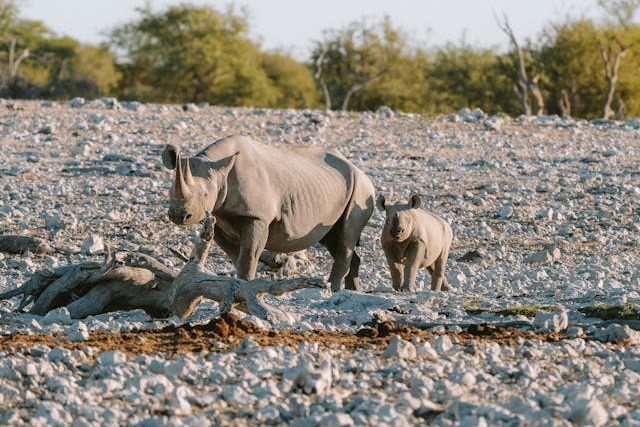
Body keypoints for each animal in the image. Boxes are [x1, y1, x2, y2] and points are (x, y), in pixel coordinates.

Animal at [162, 135, 375, 292]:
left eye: (206, 195)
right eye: (170, 191)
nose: (178, 215)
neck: (218, 169)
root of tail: (360, 170)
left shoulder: (258, 216)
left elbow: (248, 255)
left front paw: (245, 284)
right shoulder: (218, 215)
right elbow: (235, 255)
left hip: (362, 191)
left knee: (347, 235)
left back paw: (333, 289)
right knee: (334, 238)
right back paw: (354, 291)